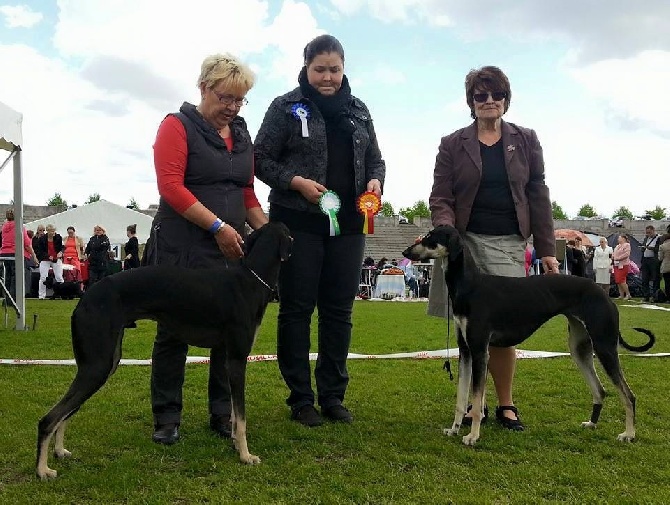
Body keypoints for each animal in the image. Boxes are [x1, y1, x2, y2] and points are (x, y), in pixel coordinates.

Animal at [36, 222, 294, 478]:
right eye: (291, 235)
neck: (249, 281)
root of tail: (83, 299)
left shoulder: (227, 357)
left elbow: (233, 412)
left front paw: (234, 444)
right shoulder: (238, 359)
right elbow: (241, 416)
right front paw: (246, 455)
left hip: (105, 363)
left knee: (67, 411)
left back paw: (59, 451)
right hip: (97, 367)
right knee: (49, 418)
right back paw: (42, 470)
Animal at [404, 224, 656, 444]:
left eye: (430, 236)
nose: (406, 252)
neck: (470, 285)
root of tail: (605, 294)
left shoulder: (479, 351)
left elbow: (475, 400)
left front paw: (473, 436)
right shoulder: (465, 351)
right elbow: (461, 397)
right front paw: (454, 429)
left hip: (604, 346)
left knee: (628, 395)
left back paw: (629, 434)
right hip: (580, 348)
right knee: (600, 390)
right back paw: (592, 424)